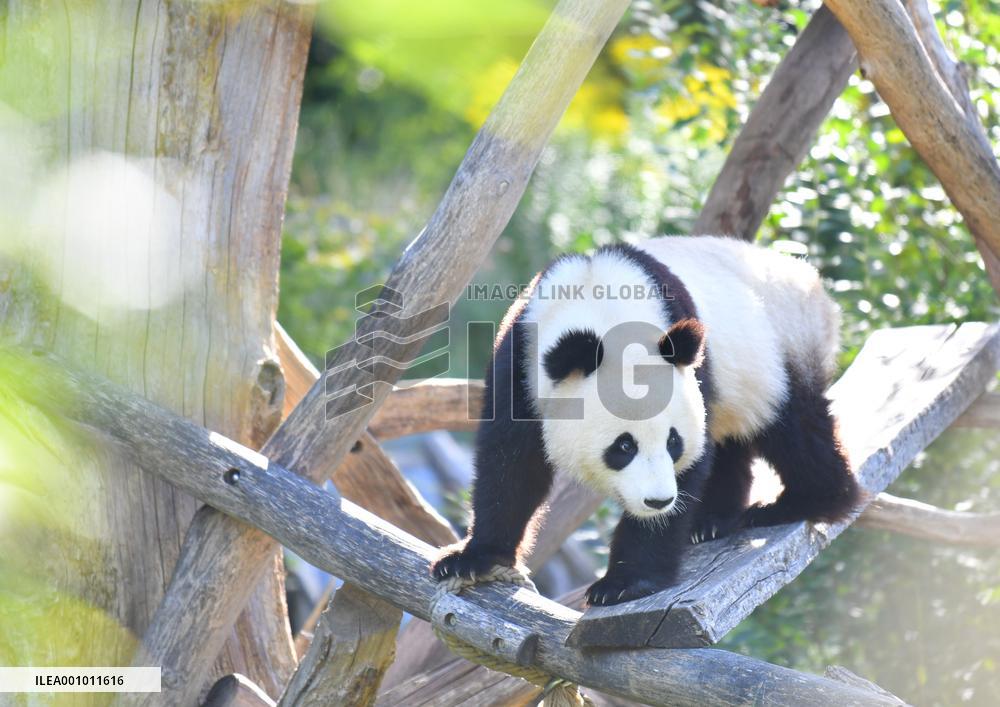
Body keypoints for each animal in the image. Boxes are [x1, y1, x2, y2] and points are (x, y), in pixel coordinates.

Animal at [431, 236, 862, 606]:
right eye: (624, 446)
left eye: (673, 442)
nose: (658, 500)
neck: (602, 309)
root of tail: (808, 277)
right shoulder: (521, 358)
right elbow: (512, 463)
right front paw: (474, 559)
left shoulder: (690, 369)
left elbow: (694, 462)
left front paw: (625, 583)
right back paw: (713, 520)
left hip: (782, 344)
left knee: (794, 427)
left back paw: (800, 502)